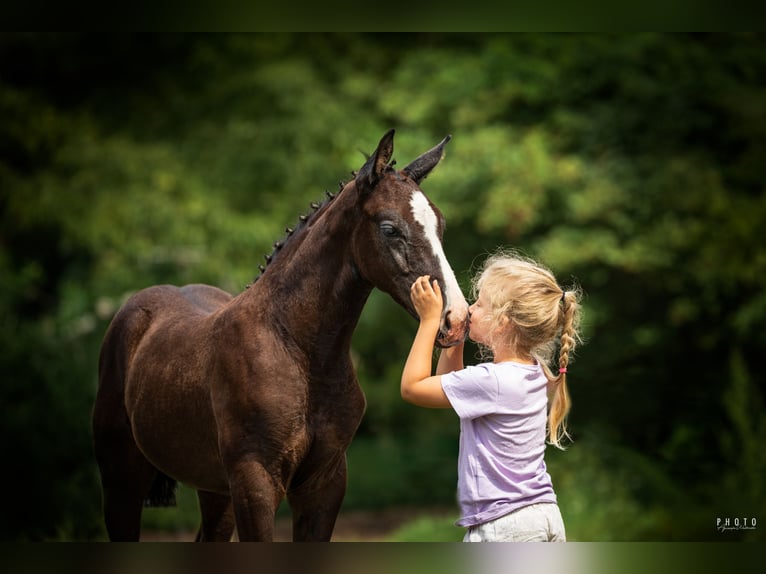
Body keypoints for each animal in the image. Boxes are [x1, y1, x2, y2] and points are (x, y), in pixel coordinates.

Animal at [92, 129, 469, 541]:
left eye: (440, 225)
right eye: (389, 228)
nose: (456, 318)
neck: (300, 352)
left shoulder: (325, 482)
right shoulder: (255, 481)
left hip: (214, 490)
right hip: (122, 480)